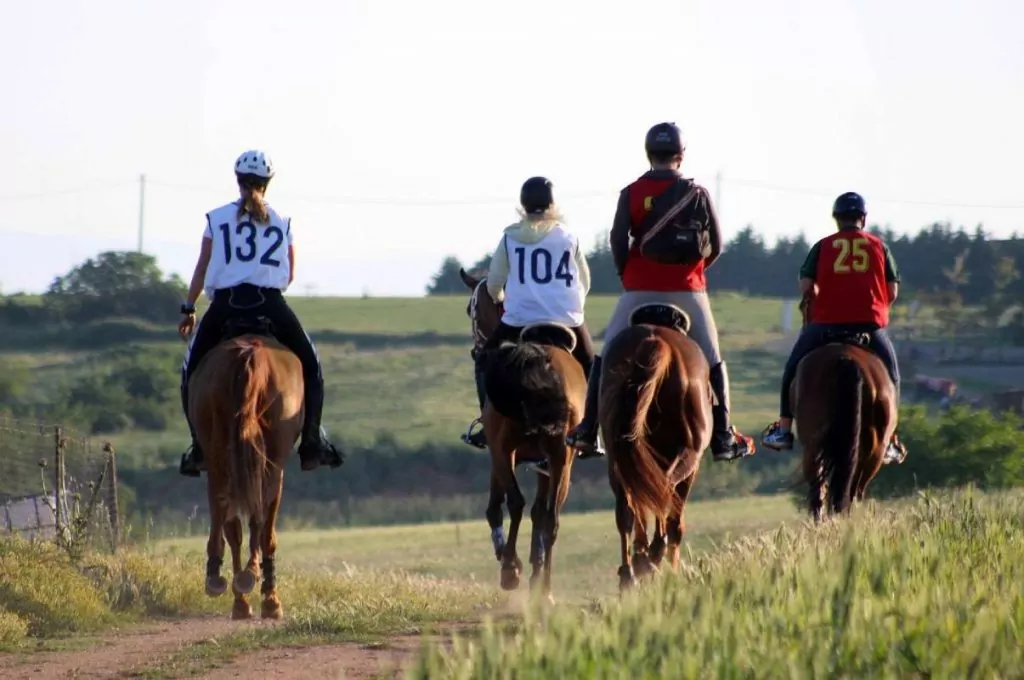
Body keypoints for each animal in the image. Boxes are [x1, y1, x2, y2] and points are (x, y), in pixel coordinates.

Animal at [187, 315, 301, 618]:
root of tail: (250, 354)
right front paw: (261, 598)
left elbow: (235, 527)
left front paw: (242, 600)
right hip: (266, 460)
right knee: (258, 519)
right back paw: (255, 583)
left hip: (221, 454)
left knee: (229, 511)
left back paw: (224, 577)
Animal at [460, 266, 589, 602]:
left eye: (470, 309)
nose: (475, 351)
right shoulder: (546, 463)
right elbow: (539, 514)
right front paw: (534, 569)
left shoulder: (499, 454)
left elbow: (497, 507)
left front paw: (512, 560)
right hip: (561, 457)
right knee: (551, 519)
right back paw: (544, 589)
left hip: (509, 449)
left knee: (517, 503)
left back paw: (510, 569)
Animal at [598, 305, 716, 593]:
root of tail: (657, 340)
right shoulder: (691, 467)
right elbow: (675, 523)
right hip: (687, 455)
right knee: (663, 491)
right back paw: (649, 556)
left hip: (619, 456)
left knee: (628, 507)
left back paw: (633, 568)